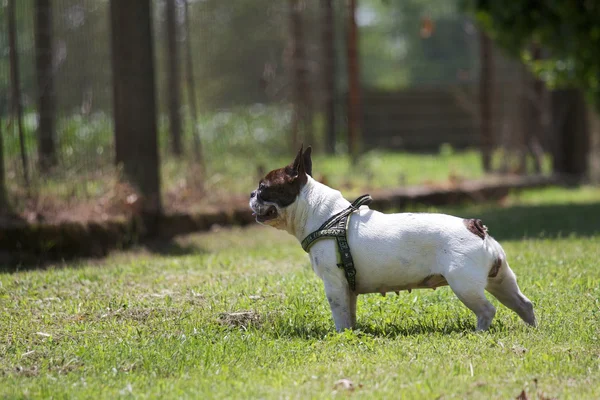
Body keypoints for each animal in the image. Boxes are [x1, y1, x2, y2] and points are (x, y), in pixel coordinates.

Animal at [251, 146, 536, 332]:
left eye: (264, 188)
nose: (252, 194)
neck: (323, 215)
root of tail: (475, 226)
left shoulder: (334, 284)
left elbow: (340, 315)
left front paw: (340, 336)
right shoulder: (346, 287)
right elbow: (349, 313)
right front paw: (352, 333)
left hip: (464, 284)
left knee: (487, 310)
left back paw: (479, 333)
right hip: (501, 280)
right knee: (523, 303)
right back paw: (532, 329)